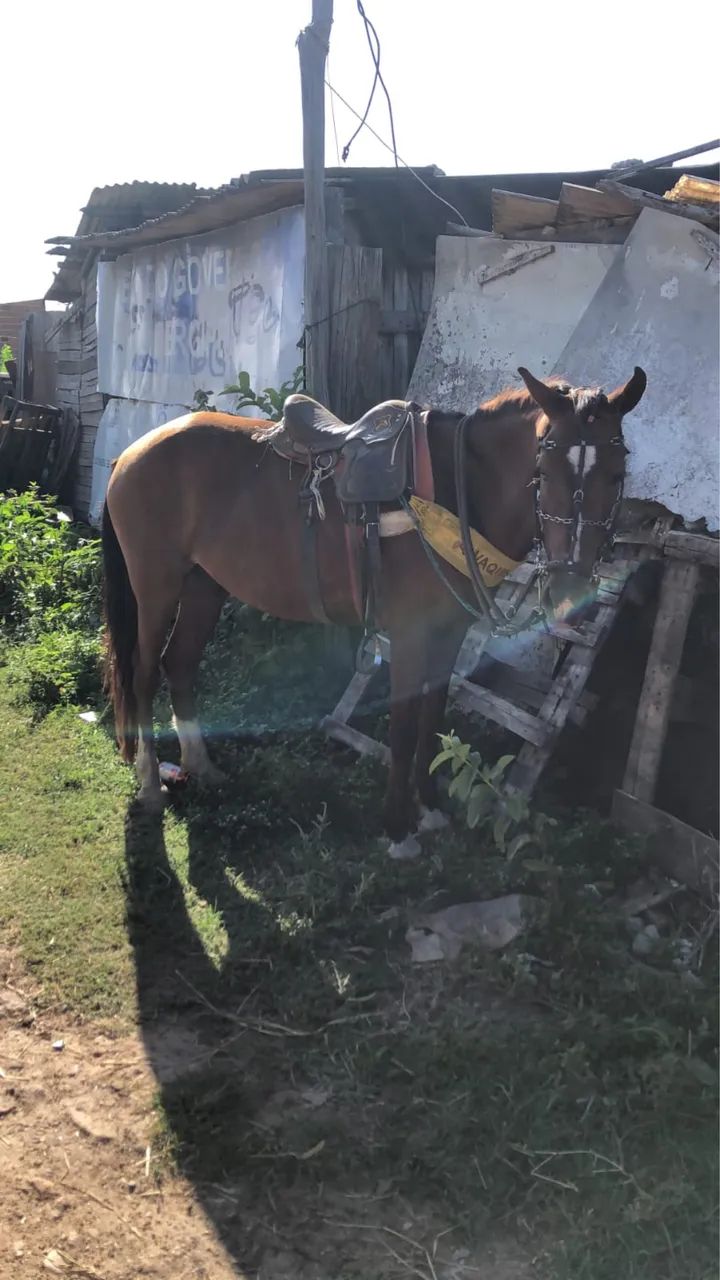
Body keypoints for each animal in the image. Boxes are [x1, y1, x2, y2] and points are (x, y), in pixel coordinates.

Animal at [101, 365, 646, 857]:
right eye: (544, 472)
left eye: (617, 473)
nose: (569, 589)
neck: (456, 492)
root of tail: (132, 452)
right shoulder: (408, 634)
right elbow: (403, 729)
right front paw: (397, 829)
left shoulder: (449, 632)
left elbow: (431, 720)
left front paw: (429, 810)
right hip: (157, 585)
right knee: (145, 672)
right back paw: (150, 781)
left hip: (204, 586)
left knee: (180, 663)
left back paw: (201, 765)